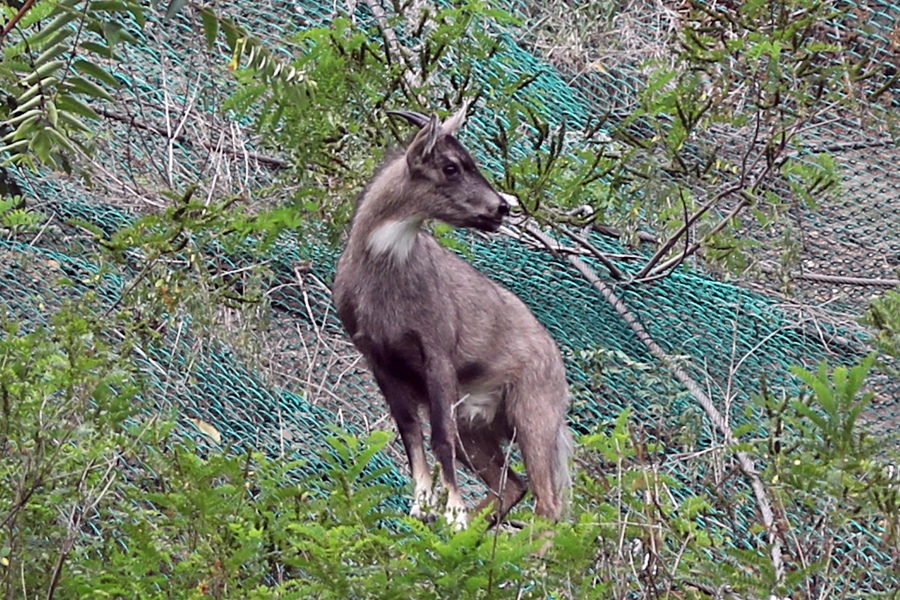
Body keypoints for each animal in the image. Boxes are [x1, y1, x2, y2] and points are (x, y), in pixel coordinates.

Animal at [334, 105, 572, 528]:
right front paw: (424, 505)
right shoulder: (378, 359)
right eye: (450, 166)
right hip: (477, 426)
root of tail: (557, 364)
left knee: (548, 505)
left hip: (534, 414)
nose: (501, 208)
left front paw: (452, 511)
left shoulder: (438, 352)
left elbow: (438, 437)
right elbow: (410, 432)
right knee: (513, 486)